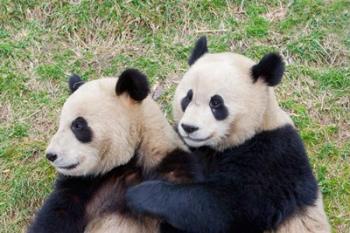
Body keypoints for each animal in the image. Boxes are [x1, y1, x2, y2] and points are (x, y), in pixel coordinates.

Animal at [27, 68, 197, 233]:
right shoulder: (84, 184)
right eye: (60, 125)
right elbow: (56, 216)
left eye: (78, 125)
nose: (51, 155)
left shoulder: (173, 171)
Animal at [125, 37, 330, 232]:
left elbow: (225, 207)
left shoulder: (273, 156)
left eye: (216, 103)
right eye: (188, 98)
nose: (189, 128)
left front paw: (140, 194)